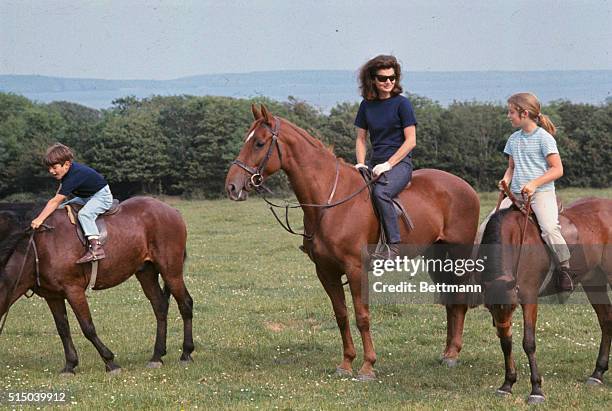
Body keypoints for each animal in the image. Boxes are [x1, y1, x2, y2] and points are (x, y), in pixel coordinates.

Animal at [0, 198, 194, 374]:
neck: (37, 251)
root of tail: (172, 211)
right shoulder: (53, 296)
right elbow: (63, 329)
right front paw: (70, 365)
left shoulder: (74, 290)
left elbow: (88, 328)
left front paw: (110, 362)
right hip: (146, 272)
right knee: (160, 307)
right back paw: (157, 356)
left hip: (171, 271)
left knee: (185, 304)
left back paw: (186, 353)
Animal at [225, 104, 482, 382]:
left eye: (259, 143)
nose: (232, 186)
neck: (329, 201)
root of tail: (465, 187)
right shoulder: (326, 271)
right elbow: (341, 315)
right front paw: (346, 363)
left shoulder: (356, 269)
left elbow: (362, 316)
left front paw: (368, 366)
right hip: (435, 257)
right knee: (449, 300)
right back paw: (446, 353)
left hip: (457, 256)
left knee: (459, 299)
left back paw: (453, 354)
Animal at [482, 198, 612, 404]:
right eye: (489, 307)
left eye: (512, 306)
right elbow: (506, 342)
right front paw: (507, 384)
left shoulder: (529, 298)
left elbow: (529, 342)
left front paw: (536, 390)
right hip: (594, 281)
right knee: (606, 320)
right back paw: (597, 373)